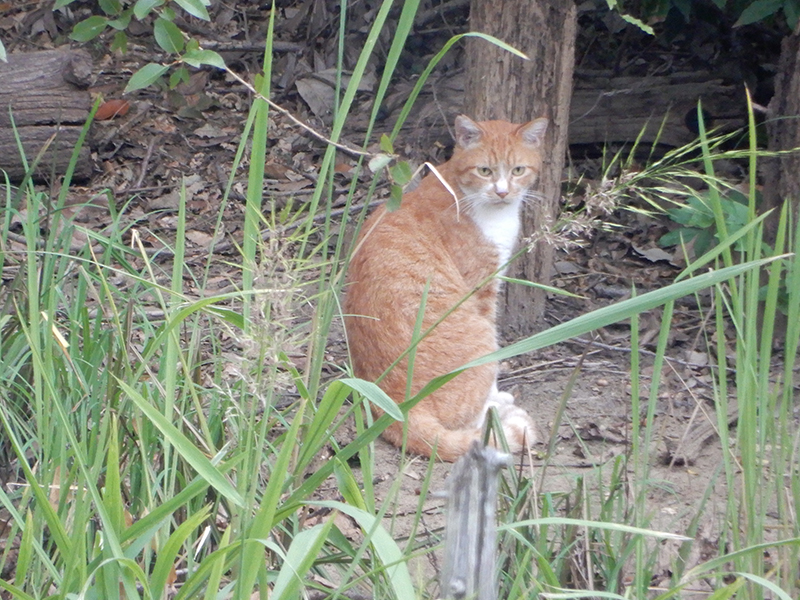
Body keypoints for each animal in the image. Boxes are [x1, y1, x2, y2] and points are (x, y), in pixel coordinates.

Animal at [346, 115, 548, 462]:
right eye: (485, 171)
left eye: (518, 170)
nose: (502, 191)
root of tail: (394, 404)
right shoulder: (482, 289)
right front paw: (496, 395)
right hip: (481, 337)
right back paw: (496, 409)